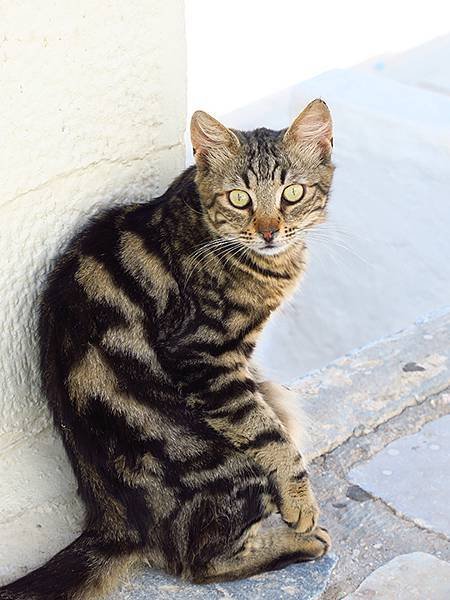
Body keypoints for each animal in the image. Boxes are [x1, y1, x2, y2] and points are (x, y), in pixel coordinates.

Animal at [0, 98, 334, 600]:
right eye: (240, 198)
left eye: (292, 193)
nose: (269, 231)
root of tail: (111, 521)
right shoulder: (202, 356)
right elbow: (267, 432)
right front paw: (301, 503)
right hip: (231, 470)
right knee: (198, 563)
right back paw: (300, 541)